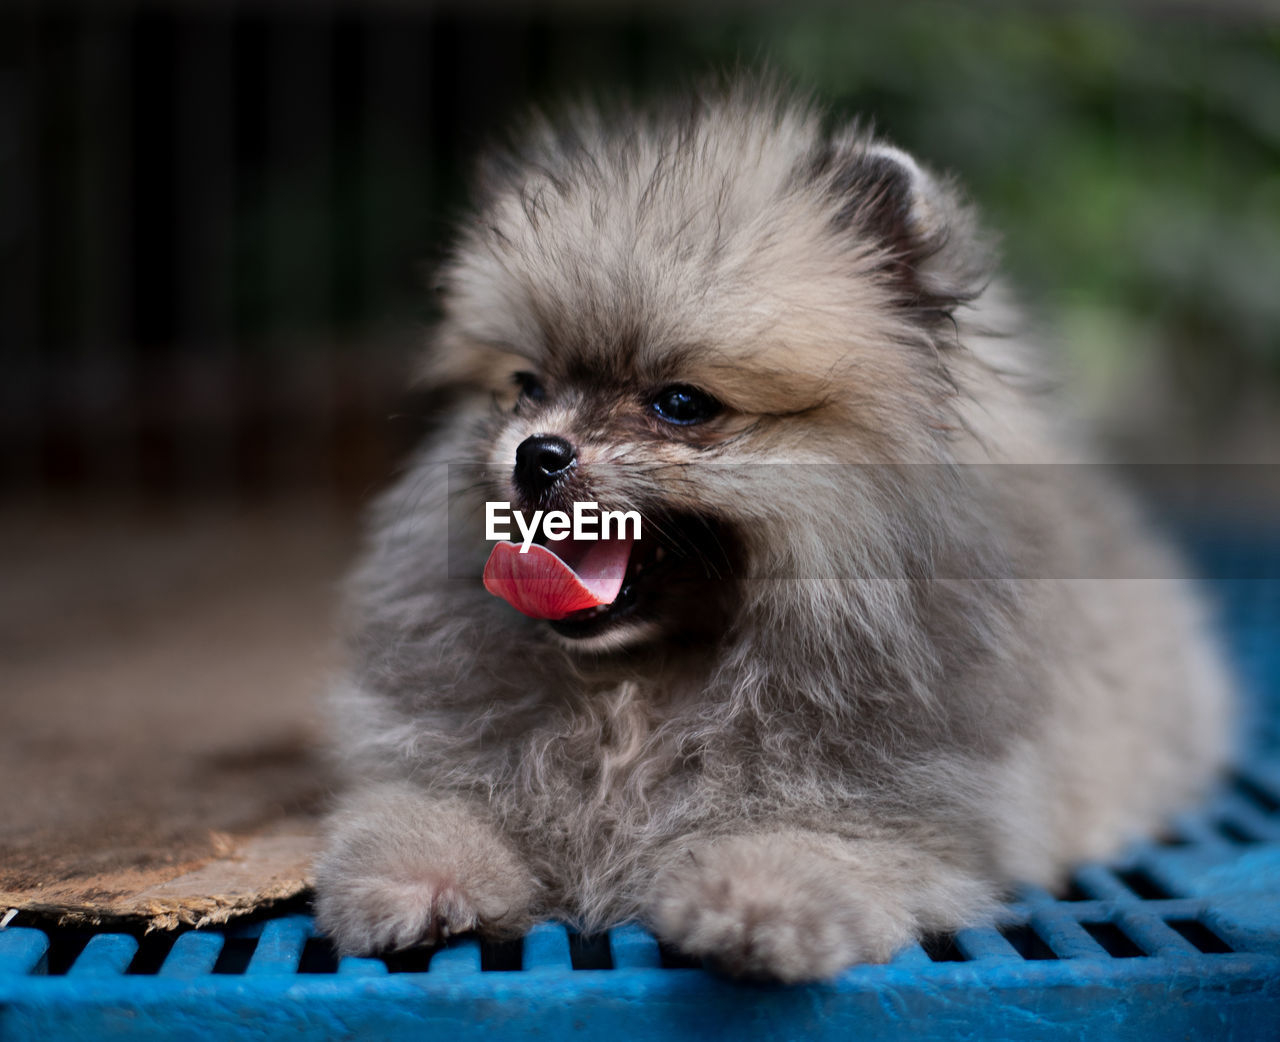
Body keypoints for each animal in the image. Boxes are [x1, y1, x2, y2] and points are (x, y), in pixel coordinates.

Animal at [309, 81, 1228, 988]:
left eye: (681, 403)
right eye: (526, 387)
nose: (537, 453)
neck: (639, 688)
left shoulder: (904, 810)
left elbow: (814, 840)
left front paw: (758, 901)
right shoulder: (452, 759)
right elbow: (430, 806)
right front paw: (417, 878)